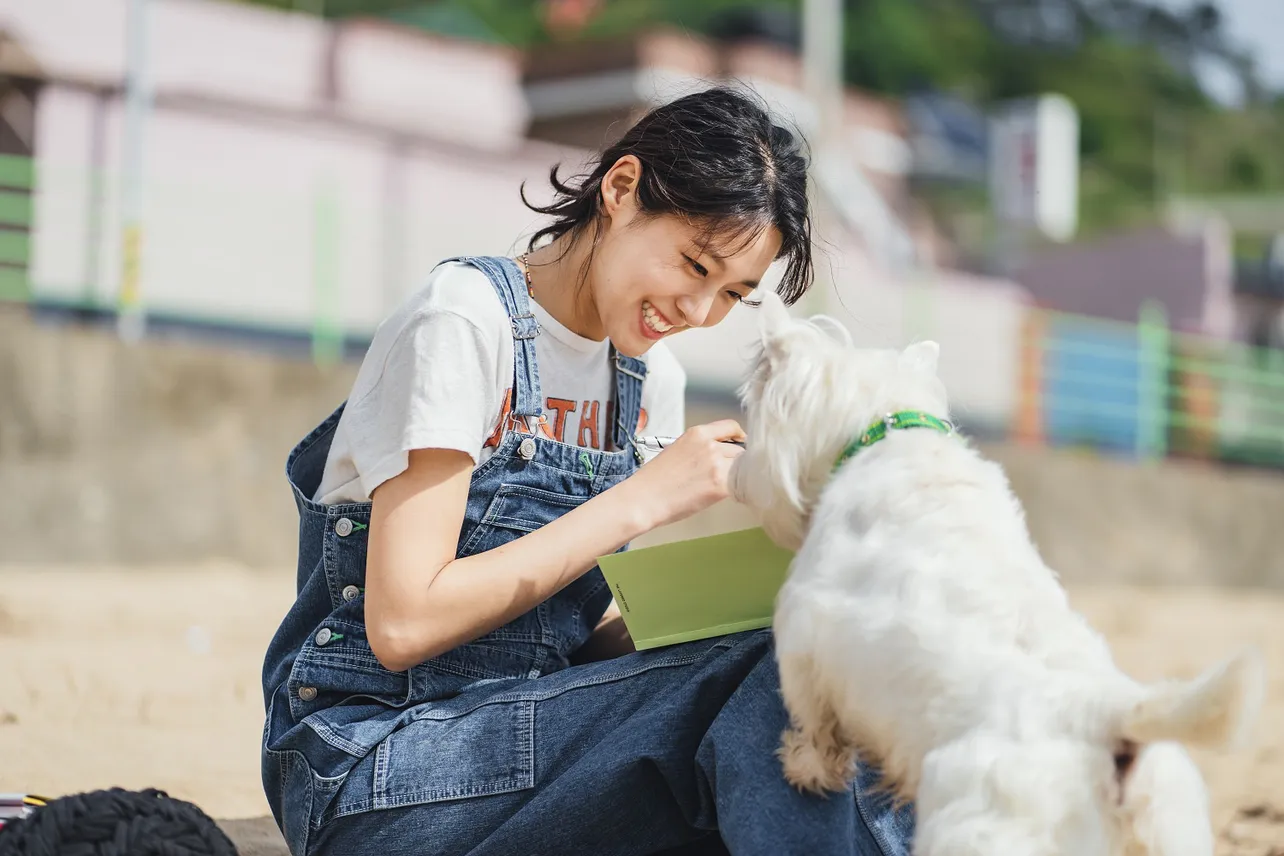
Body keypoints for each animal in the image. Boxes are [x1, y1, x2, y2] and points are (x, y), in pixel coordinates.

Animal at [729, 292, 1258, 856]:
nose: (735, 473)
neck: (883, 432)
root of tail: (1105, 716)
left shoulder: (804, 637)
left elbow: (815, 720)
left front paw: (804, 767)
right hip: (1169, 826)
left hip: (981, 824)